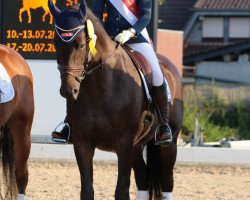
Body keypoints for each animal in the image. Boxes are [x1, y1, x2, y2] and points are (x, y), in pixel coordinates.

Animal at [48, 0, 182, 199]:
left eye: (81, 45)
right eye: (56, 44)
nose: (68, 90)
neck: (100, 87)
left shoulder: (124, 142)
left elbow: (121, 191)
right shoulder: (82, 143)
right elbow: (87, 190)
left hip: (169, 144)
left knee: (166, 182)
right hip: (137, 146)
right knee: (142, 178)